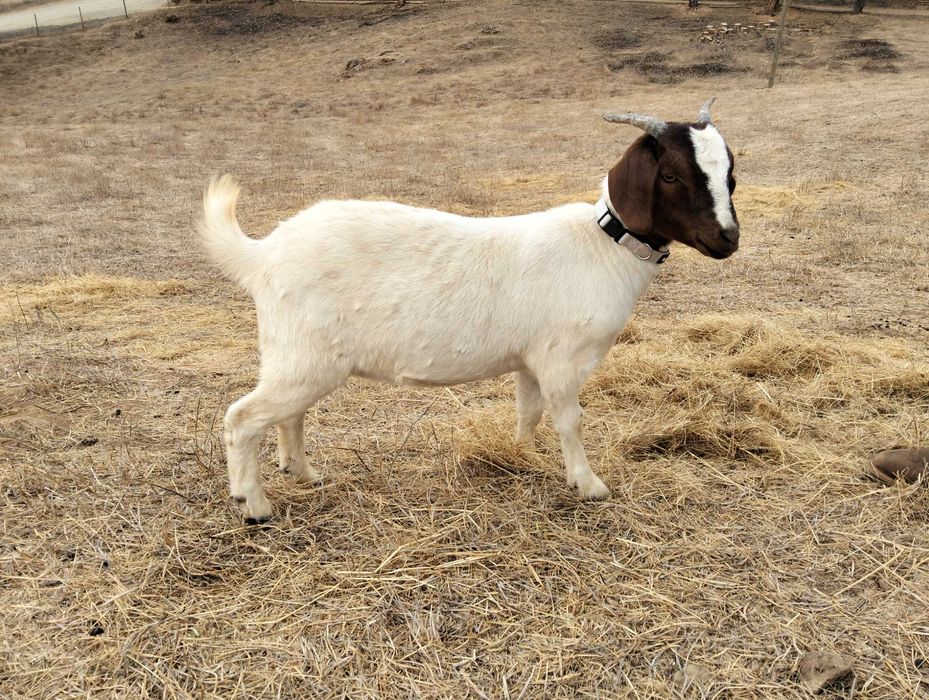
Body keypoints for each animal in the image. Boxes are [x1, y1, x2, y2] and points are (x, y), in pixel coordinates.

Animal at [198, 99, 740, 522]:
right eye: (669, 174)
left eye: (730, 174)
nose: (727, 239)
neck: (602, 246)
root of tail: (263, 253)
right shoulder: (563, 359)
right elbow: (571, 420)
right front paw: (589, 485)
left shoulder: (531, 360)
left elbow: (529, 411)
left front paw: (523, 455)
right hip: (303, 357)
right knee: (242, 417)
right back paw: (254, 505)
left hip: (302, 357)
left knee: (290, 416)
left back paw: (305, 473)